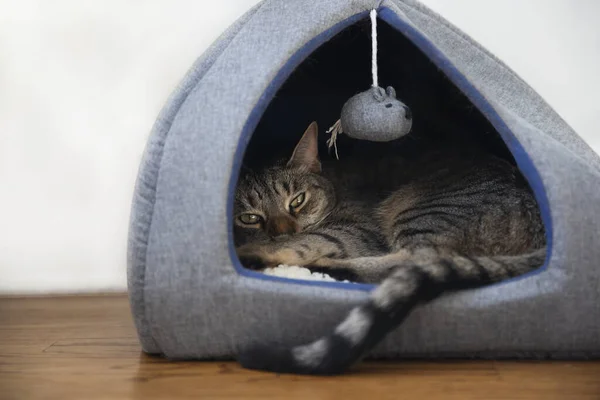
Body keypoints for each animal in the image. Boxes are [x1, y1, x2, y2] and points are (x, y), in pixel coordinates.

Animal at [236, 120, 548, 374]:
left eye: (298, 201)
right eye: (249, 218)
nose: (282, 232)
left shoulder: (356, 230)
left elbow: (307, 241)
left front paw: (256, 253)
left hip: (423, 214)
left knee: (413, 262)